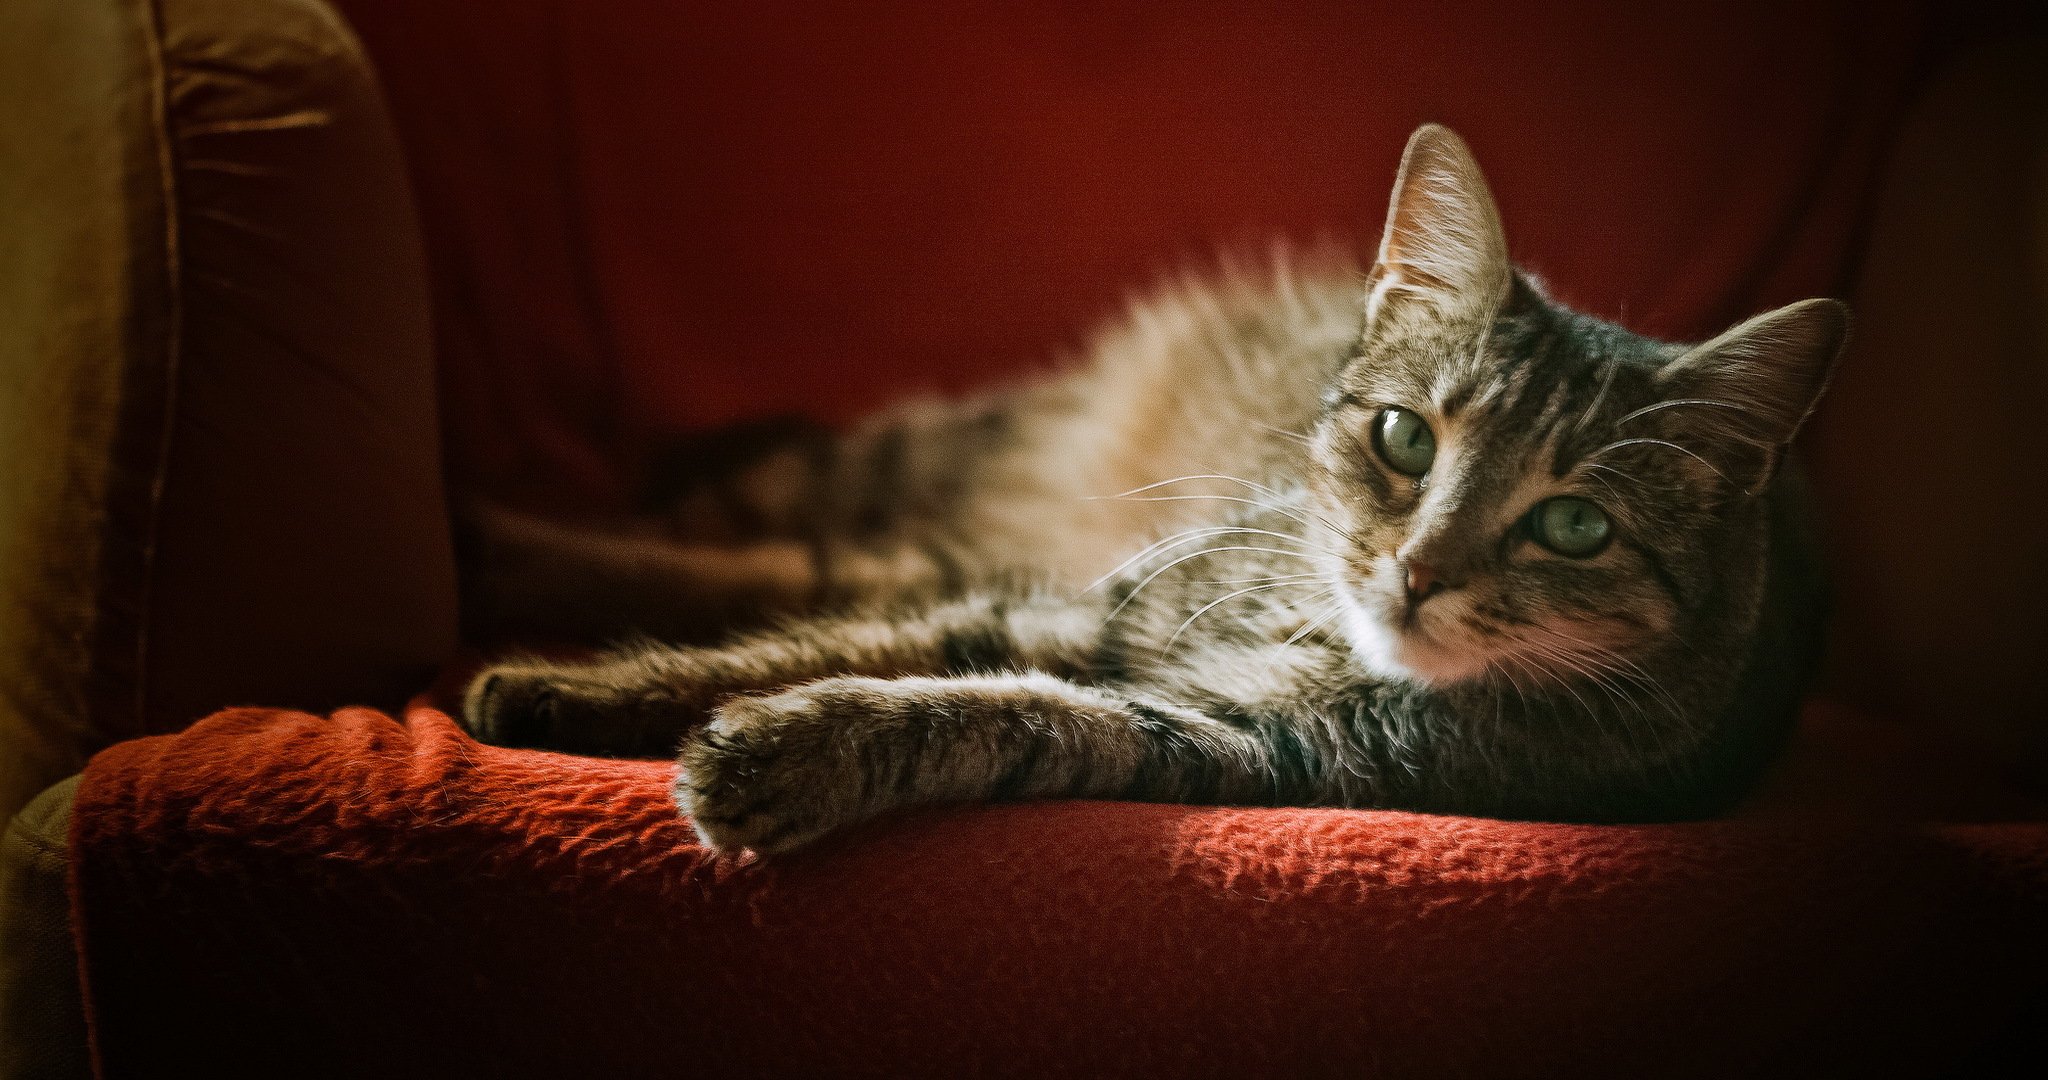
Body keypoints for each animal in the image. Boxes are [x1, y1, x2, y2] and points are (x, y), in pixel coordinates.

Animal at [460, 124, 1843, 852]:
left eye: (1572, 524)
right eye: (1404, 439)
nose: (1416, 571)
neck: (1315, 631)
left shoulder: (1246, 745)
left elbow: (986, 713)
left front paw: (792, 749)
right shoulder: (1085, 608)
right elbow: (810, 642)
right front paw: (581, 688)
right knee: (795, 555)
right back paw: (502, 547)